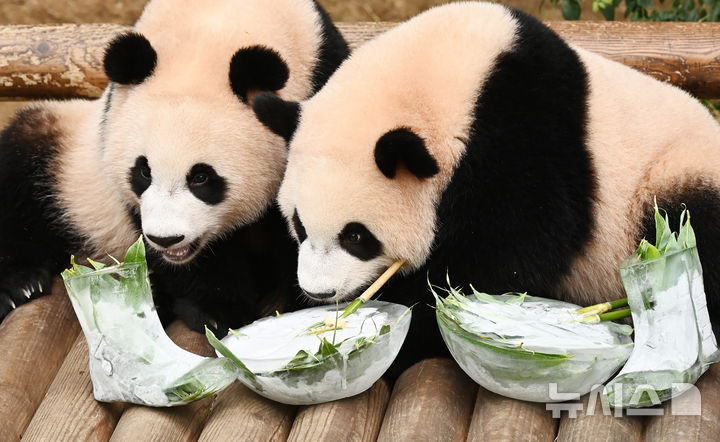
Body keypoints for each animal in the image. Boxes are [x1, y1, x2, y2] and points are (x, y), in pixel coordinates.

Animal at [0, 0, 348, 334]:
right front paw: (218, 310)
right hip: (63, 156)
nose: (166, 239)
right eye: (143, 171)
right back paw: (22, 285)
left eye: (201, 177)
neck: (214, 27)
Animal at [252, 1, 720, 372]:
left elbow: (508, 257)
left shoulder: (522, 142)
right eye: (299, 226)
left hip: (671, 174)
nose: (319, 291)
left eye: (356, 236)